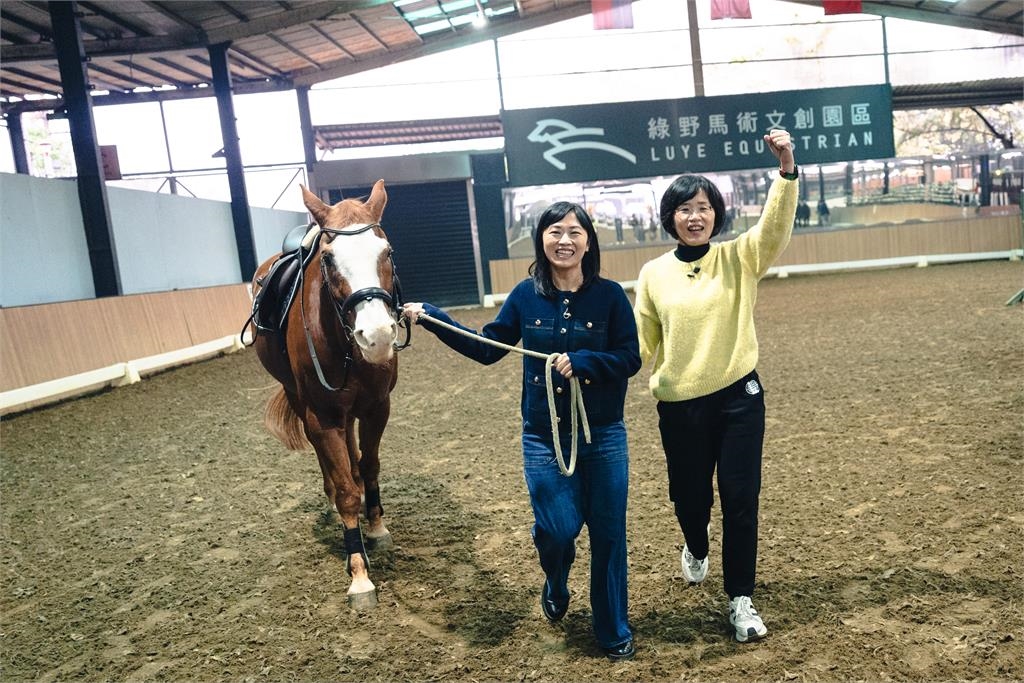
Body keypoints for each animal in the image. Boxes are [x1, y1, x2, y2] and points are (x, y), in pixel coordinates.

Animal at [247, 179, 404, 609]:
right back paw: (332, 500)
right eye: (329, 259)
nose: (376, 336)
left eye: (387, 251)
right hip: (301, 401)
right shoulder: (322, 415)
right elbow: (347, 489)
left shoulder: (377, 407)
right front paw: (359, 574)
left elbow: (369, 465)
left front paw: (376, 527)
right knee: (328, 462)